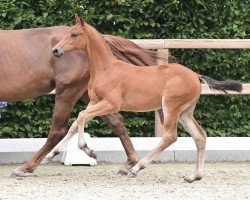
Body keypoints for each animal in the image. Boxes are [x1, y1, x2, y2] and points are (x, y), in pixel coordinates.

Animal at [52, 16, 242, 183]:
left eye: (74, 34)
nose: (55, 50)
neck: (106, 69)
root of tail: (196, 76)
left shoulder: (111, 104)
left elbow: (81, 116)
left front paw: (88, 150)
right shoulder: (95, 101)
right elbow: (76, 123)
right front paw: (53, 153)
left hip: (171, 107)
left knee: (170, 136)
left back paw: (136, 169)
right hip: (185, 113)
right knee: (200, 136)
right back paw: (194, 176)